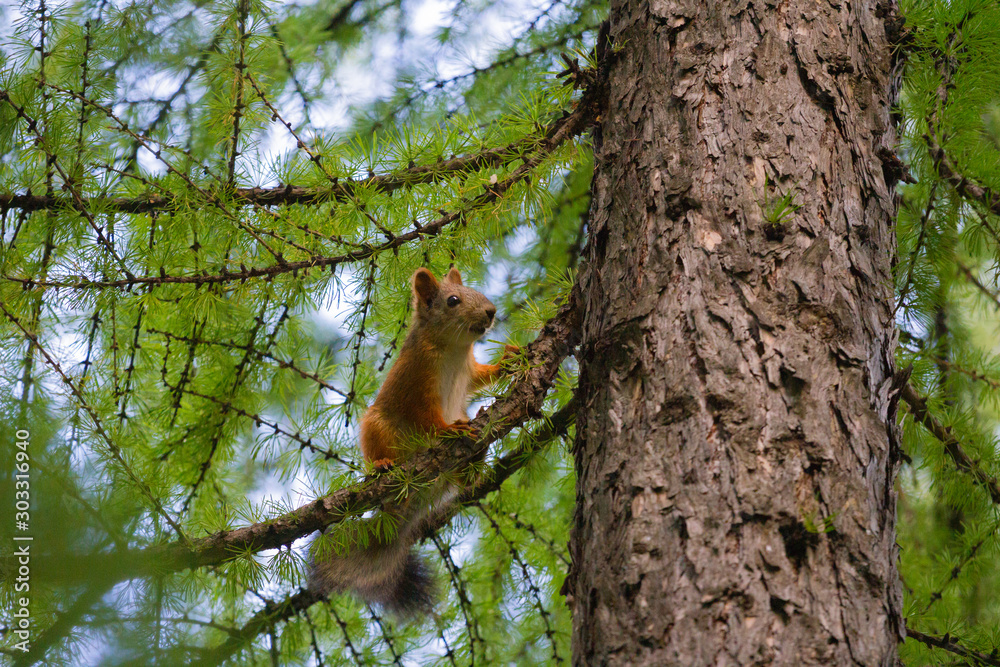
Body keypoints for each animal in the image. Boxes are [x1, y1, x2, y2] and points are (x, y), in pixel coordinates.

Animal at [310, 264, 516, 616]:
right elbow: (428, 418)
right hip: (376, 427)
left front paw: (510, 360)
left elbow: (482, 377)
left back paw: (476, 458)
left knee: (463, 480)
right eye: (453, 300)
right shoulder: (417, 384)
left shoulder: (469, 371)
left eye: (476, 292)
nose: (491, 312)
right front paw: (450, 429)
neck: (454, 348)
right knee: (378, 452)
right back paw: (382, 464)